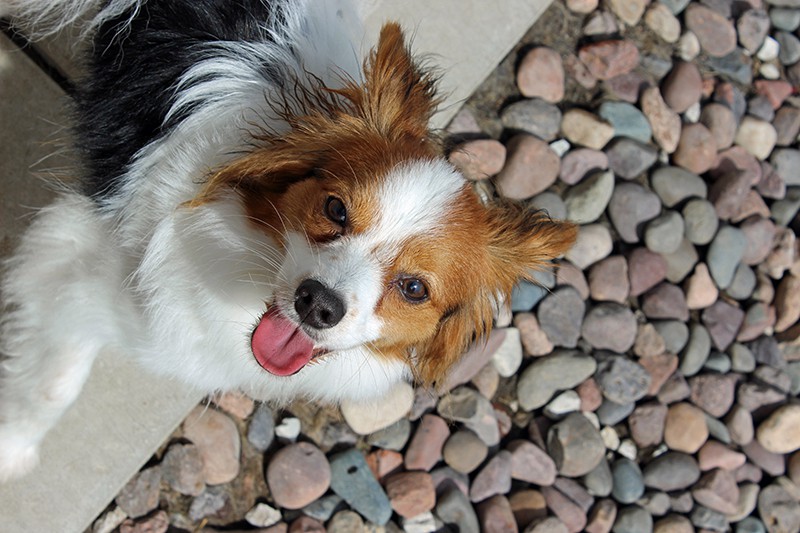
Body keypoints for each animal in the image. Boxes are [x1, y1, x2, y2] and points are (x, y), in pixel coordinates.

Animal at [0, 0, 576, 480]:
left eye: (414, 289)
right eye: (336, 209)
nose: (317, 303)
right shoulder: (78, 254)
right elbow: (53, 384)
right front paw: (13, 449)